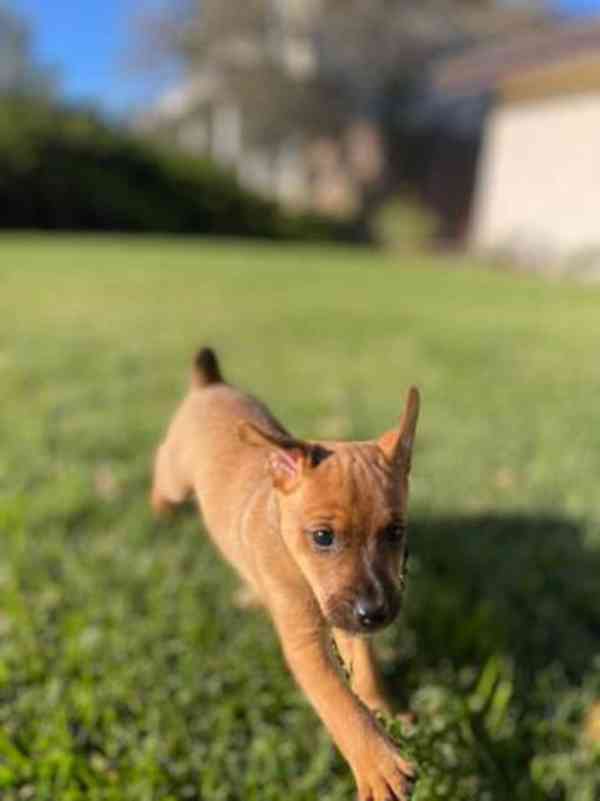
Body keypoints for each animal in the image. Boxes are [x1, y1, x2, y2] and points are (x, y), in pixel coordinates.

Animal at [152, 346, 420, 796]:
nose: (376, 614)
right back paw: (159, 512)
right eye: (323, 537)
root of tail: (210, 385)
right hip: (174, 477)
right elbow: (338, 701)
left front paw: (383, 709)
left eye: (396, 532)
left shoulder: (346, 613)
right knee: (160, 478)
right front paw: (377, 763)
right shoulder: (306, 643)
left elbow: (364, 668)